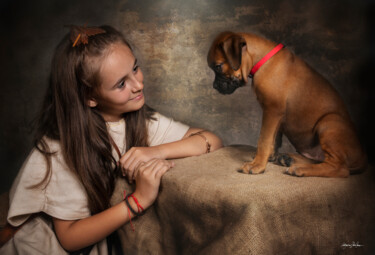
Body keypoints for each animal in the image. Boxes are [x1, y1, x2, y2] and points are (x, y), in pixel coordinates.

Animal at [206, 30, 368, 176]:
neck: (262, 60)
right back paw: (288, 159)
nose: (214, 86)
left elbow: (264, 139)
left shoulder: (272, 110)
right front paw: (268, 157)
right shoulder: (276, 116)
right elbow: (274, 139)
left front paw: (257, 165)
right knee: (321, 160)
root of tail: (363, 158)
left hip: (328, 122)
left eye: (218, 66)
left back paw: (300, 169)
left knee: (339, 168)